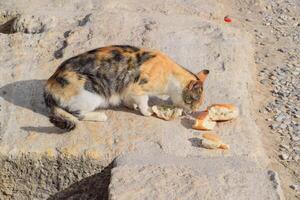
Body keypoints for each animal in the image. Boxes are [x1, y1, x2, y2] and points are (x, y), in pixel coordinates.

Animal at [44, 44, 209, 130]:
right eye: (193, 101)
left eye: (198, 104)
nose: (192, 111)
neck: (170, 74)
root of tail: (49, 84)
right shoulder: (139, 88)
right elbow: (144, 102)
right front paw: (147, 111)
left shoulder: (128, 88)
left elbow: (128, 98)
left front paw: (130, 105)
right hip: (91, 94)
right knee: (77, 114)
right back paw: (101, 116)